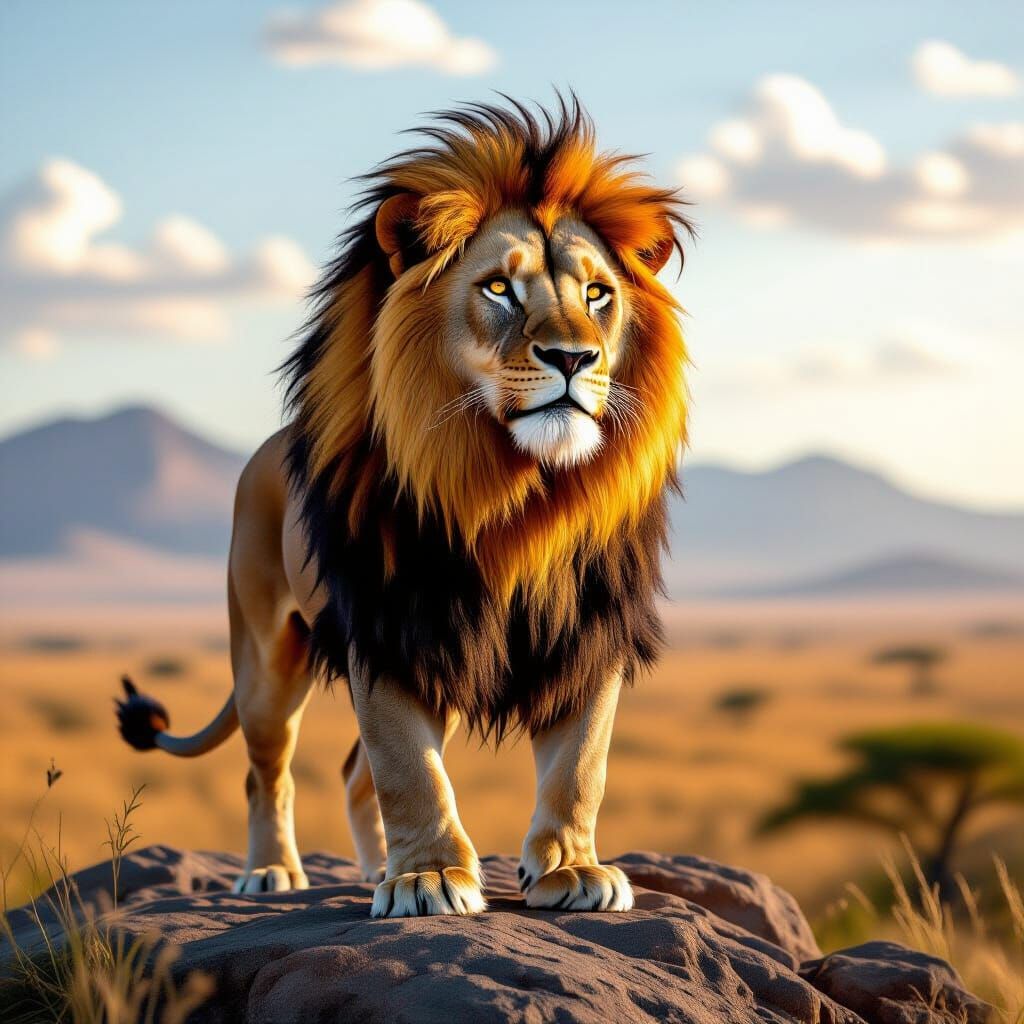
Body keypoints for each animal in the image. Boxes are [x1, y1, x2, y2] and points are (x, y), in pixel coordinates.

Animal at [116, 96, 691, 918]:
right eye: (499, 289)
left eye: (597, 294)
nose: (575, 358)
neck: (512, 494)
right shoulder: (390, 624)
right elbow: (407, 769)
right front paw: (428, 879)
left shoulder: (587, 629)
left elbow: (581, 765)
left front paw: (569, 869)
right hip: (266, 657)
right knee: (268, 772)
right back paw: (273, 872)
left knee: (352, 775)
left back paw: (369, 870)